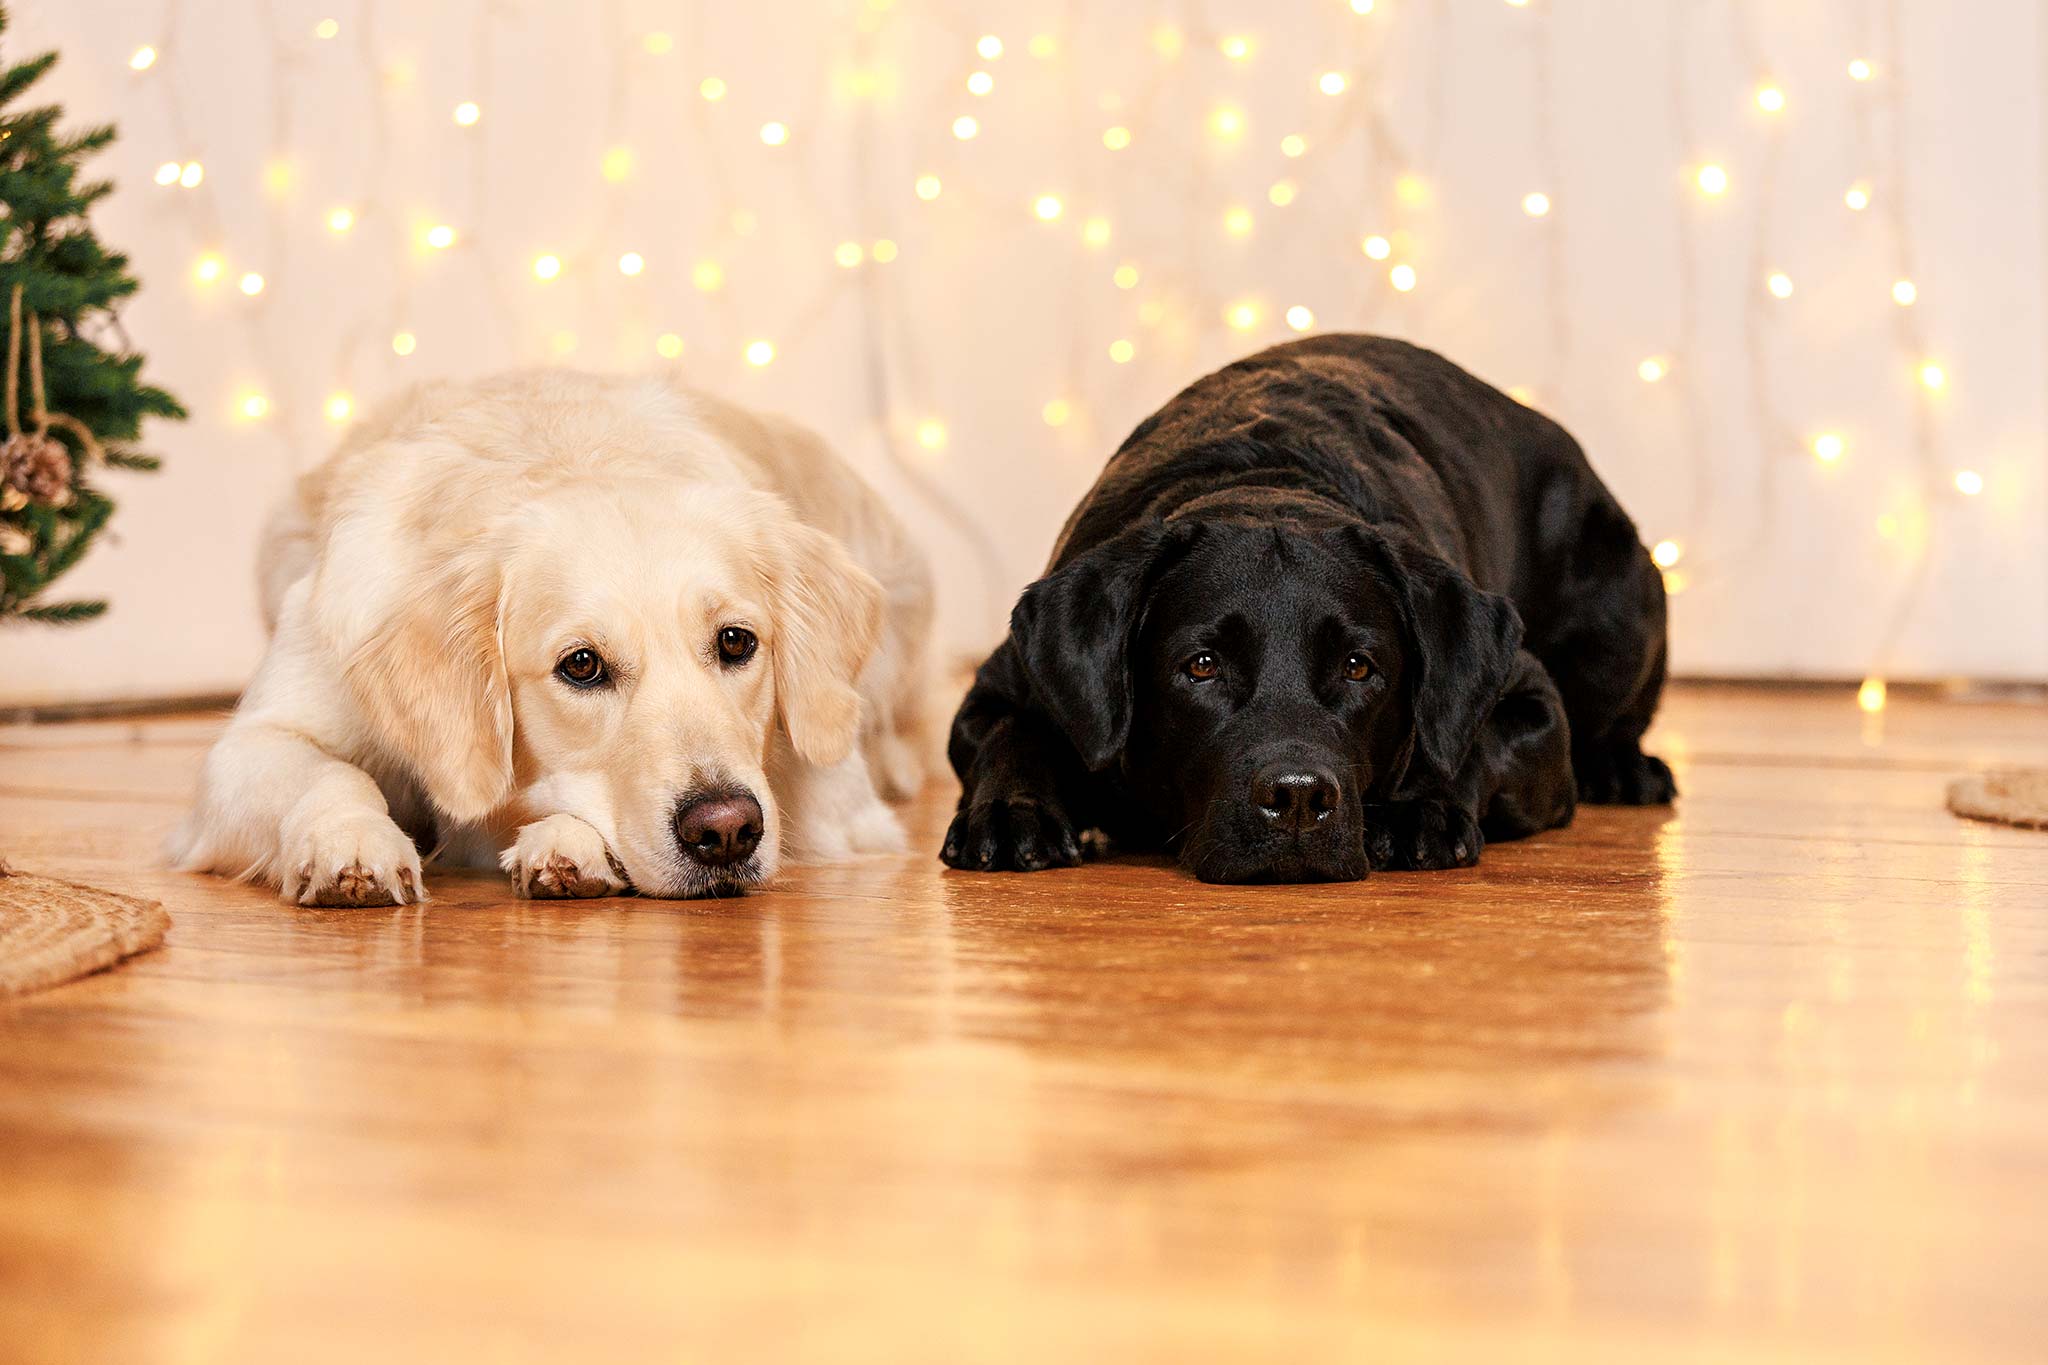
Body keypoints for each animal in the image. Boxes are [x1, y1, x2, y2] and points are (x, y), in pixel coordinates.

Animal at [172, 374, 933, 908]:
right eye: (583, 665)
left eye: (736, 643)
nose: (726, 830)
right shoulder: (255, 739)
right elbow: (332, 771)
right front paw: (351, 840)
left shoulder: (837, 801)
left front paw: (565, 843)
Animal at [942, 335, 1679, 879]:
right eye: (1201, 665)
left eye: (1359, 667)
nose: (1298, 797)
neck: (1265, 481)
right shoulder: (1009, 679)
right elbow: (1011, 731)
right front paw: (1010, 813)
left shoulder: (1533, 706)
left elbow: (1469, 741)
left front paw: (1419, 807)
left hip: (1622, 609)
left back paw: (1624, 769)